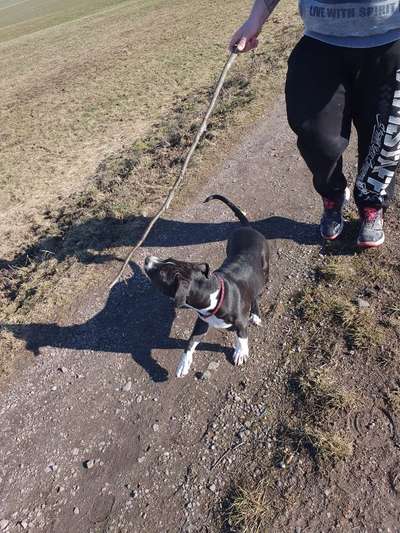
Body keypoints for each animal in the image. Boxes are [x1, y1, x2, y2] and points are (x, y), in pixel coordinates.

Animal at [144, 196, 268, 378]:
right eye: (168, 259)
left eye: (160, 274)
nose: (147, 259)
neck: (214, 293)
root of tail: (247, 227)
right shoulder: (201, 322)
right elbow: (190, 341)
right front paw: (183, 364)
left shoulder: (240, 323)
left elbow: (242, 337)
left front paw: (241, 352)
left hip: (264, 273)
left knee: (256, 294)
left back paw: (255, 314)